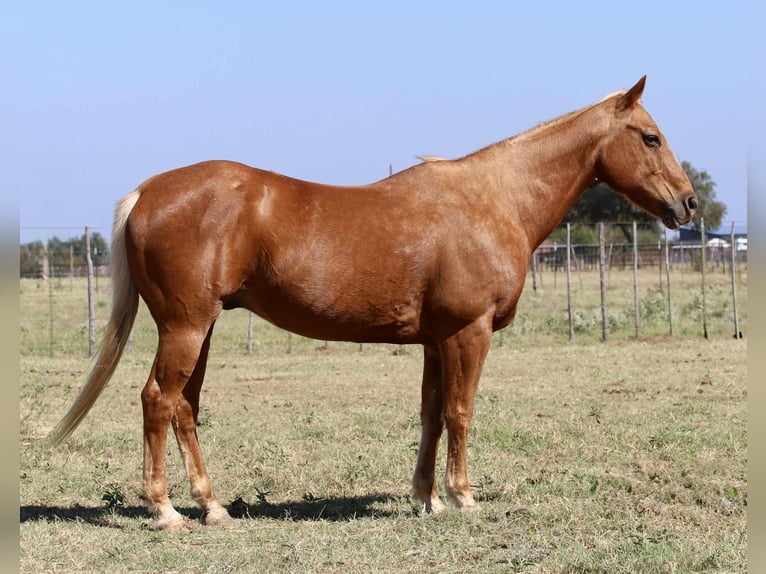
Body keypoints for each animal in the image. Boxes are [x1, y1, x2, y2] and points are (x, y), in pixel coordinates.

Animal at [49, 76, 697, 532]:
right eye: (651, 137)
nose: (689, 204)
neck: (494, 199)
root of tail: (147, 192)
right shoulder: (468, 332)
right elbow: (461, 412)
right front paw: (463, 497)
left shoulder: (436, 340)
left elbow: (432, 414)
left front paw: (427, 499)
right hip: (185, 325)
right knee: (158, 400)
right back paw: (165, 511)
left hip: (199, 328)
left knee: (184, 406)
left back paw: (212, 507)